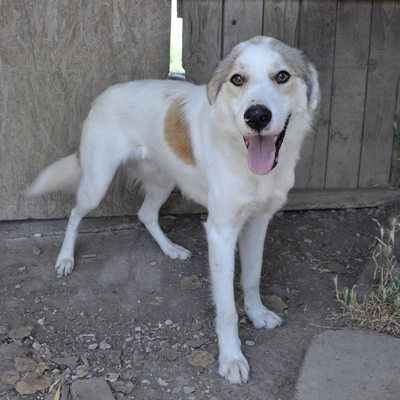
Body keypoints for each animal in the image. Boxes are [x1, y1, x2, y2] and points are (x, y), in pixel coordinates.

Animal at [25, 36, 318, 384]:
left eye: (282, 76)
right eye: (237, 79)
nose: (256, 116)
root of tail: (103, 94)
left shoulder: (258, 222)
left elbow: (252, 277)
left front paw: (257, 314)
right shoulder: (220, 233)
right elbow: (226, 309)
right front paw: (231, 359)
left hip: (163, 181)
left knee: (146, 214)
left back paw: (170, 249)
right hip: (97, 183)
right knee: (74, 214)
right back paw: (66, 259)